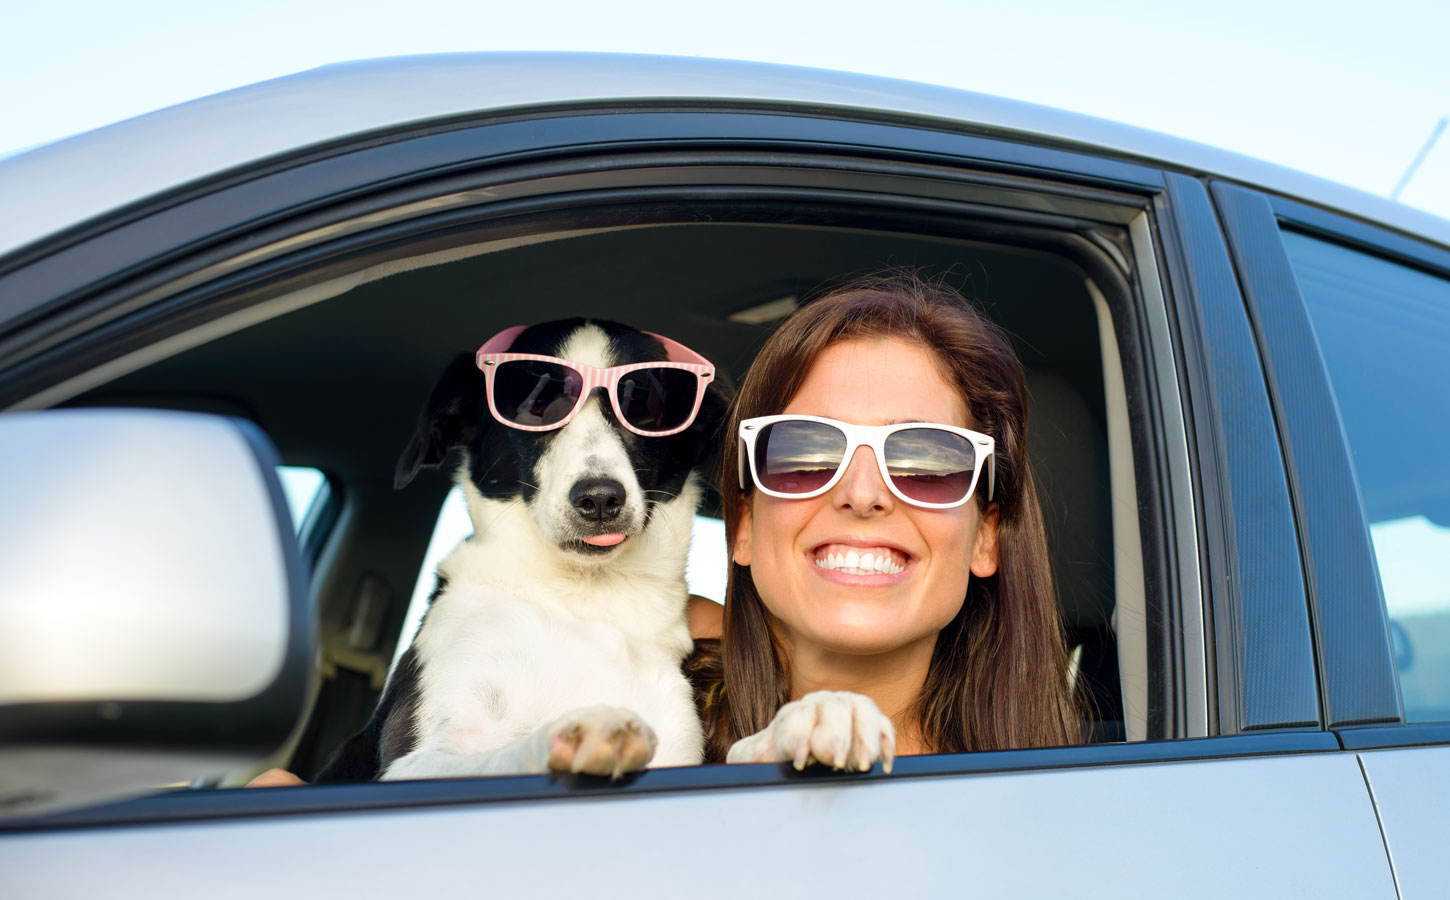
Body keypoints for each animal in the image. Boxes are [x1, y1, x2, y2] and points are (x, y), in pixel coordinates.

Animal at [317, 321, 725, 776]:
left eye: (641, 401)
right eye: (538, 401)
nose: (600, 498)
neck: (584, 599)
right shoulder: (413, 761)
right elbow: (498, 757)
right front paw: (573, 737)